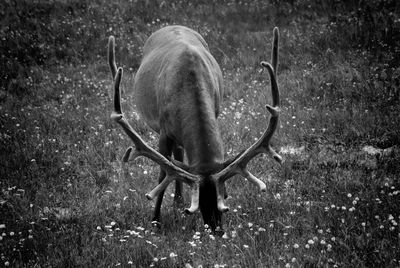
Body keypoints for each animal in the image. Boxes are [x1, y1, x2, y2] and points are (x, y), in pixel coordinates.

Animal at [107, 24, 282, 230]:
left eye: (222, 199)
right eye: (199, 204)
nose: (216, 230)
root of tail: (172, 25)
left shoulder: (215, 110)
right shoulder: (164, 131)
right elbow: (162, 175)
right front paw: (155, 220)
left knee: (180, 151)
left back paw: (177, 200)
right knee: (176, 154)